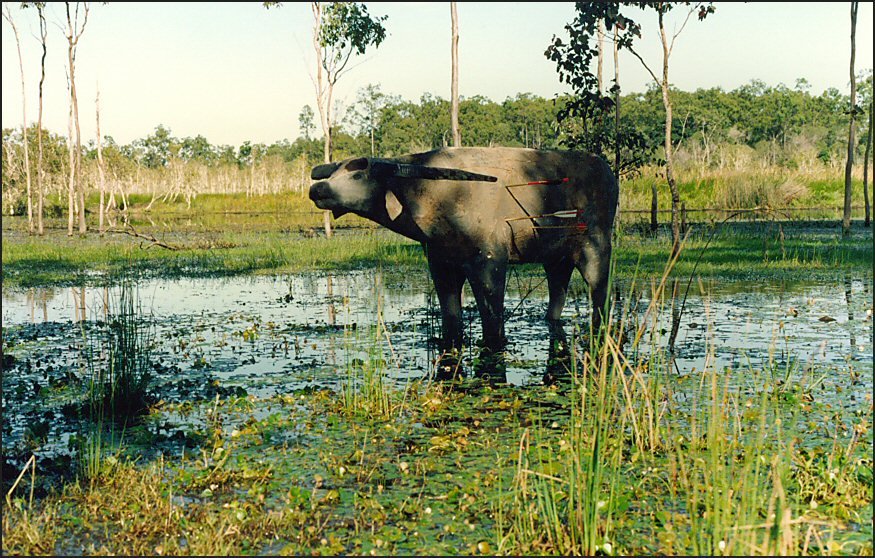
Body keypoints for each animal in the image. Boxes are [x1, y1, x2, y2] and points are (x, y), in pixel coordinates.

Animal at [312, 147, 620, 378]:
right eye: (335, 172)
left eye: (358, 174)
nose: (317, 189)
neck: (431, 194)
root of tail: (608, 172)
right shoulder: (441, 265)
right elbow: (451, 316)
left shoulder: (490, 262)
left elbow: (492, 319)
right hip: (557, 258)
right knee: (558, 289)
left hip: (597, 248)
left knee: (600, 294)